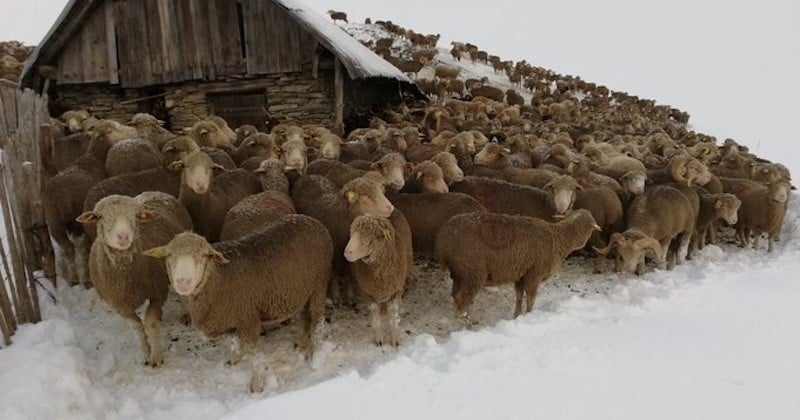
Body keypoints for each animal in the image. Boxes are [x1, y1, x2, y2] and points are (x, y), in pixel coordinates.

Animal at [75, 194, 194, 368]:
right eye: (101, 217)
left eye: (136, 216)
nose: (123, 236)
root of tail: (157, 192)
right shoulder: (119, 304)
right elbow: (137, 327)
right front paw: (145, 353)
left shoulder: (157, 291)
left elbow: (150, 323)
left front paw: (156, 358)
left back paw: (185, 314)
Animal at [143, 217, 332, 394]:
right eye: (169, 256)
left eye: (204, 255)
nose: (183, 282)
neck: (217, 277)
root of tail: (313, 221)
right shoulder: (229, 315)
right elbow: (231, 341)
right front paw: (233, 362)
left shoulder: (248, 317)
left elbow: (253, 353)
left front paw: (257, 386)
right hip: (304, 291)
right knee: (305, 316)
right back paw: (301, 344)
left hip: (319, 285)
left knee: (318, 322)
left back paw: (314, 355)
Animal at [292, 174, 396, 306]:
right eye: (366, 197)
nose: (390, 207)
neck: (343, 216)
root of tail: (308, 175)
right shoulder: (334, 253)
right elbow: (334, 274)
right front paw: (336, 297)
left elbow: (349, 275)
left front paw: (350, 296)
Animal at [344, 213, 412, 348]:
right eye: (352, 233)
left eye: (372, 237)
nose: (347, 252)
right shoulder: (366, 292)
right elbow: (375, 316)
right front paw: (379, 340)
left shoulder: (395, 290)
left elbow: (392, 315)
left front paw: (394, 340)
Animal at [438, 208, 600, 320]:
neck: (559, 238)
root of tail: (444, 238)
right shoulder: (534, 275)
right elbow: (531, 299)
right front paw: (529, 315)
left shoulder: (521, 274)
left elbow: (519, 296)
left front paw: (517, 315)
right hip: (474, 273)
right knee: (462, 299)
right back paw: (464, 318)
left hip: (459, 271)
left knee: (455, 294)